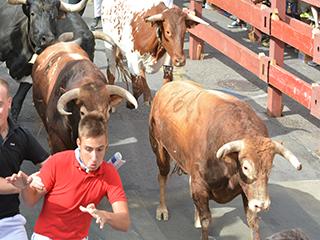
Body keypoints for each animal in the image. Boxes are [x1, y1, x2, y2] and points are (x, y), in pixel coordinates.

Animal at [149, 80, 302, 240]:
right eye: (245, 167)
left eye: (270, 167)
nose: (261, 204)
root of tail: (169, 84)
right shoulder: (200, 185)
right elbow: (206, 220)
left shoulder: (246, 192)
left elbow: (253, 221)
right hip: (159, 149)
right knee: (162, 176)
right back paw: (162, 209)